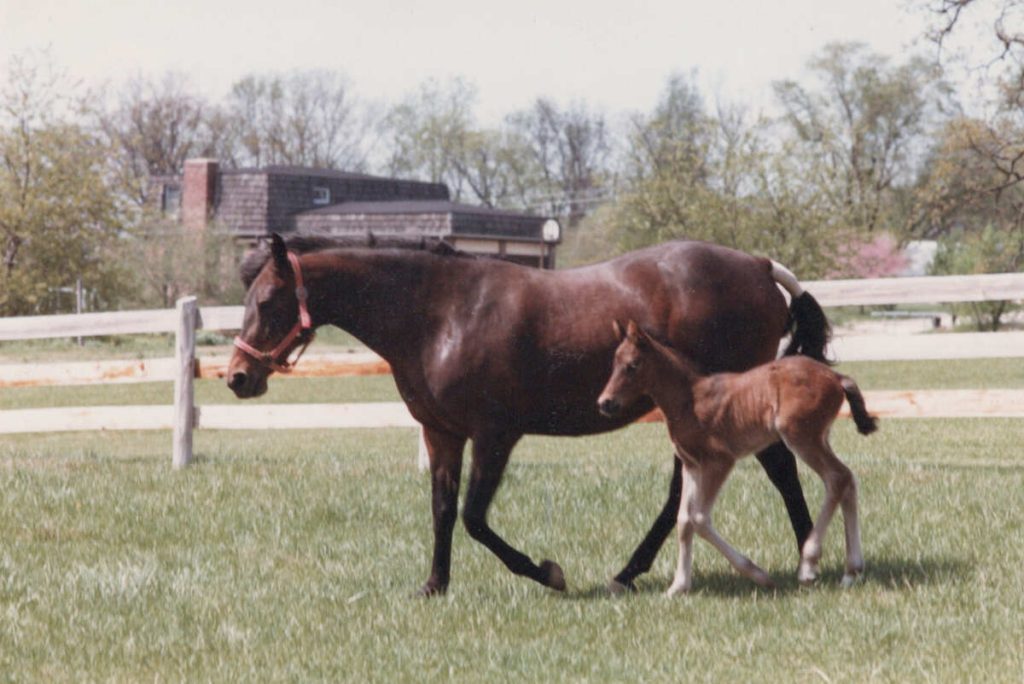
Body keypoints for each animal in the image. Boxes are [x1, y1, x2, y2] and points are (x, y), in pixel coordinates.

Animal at [227, 232, 832, 596]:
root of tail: (758, 265)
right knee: (684, 493)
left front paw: (548, 572)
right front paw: (434, 585)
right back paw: (628, 573)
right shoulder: (441, 434)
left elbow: (474, 517)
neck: (441, 313)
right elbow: (443, 510)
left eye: (267, 302)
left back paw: (808, 560)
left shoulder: (495, 435)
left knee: (781, 471)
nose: (237, 376)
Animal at [597, 320, 876, 595]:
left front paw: (759, 575)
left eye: (633, 365)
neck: (689, 398)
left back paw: (809, 565)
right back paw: (851, 572)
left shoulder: (719, 461)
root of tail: (836, 377)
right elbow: (684, 520)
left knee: (837, 478)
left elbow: (699, 518)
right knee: (847, 479)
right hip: (818, 438)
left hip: (801, 436)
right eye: (613, 363)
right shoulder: (691, 465)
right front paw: (678, 586)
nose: (605, 402)